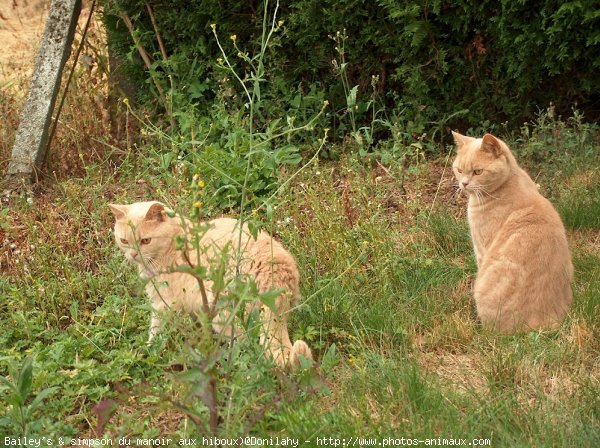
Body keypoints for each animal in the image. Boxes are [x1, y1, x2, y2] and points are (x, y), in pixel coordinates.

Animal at [109, 201, 314, 370]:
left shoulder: (164, 303)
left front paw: (148, 351)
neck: (175, 241)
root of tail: (275, 275)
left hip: (225, 316)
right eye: (124, 241)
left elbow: (155, 331)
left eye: (145, 241)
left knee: (248, 345)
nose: (133, 255)